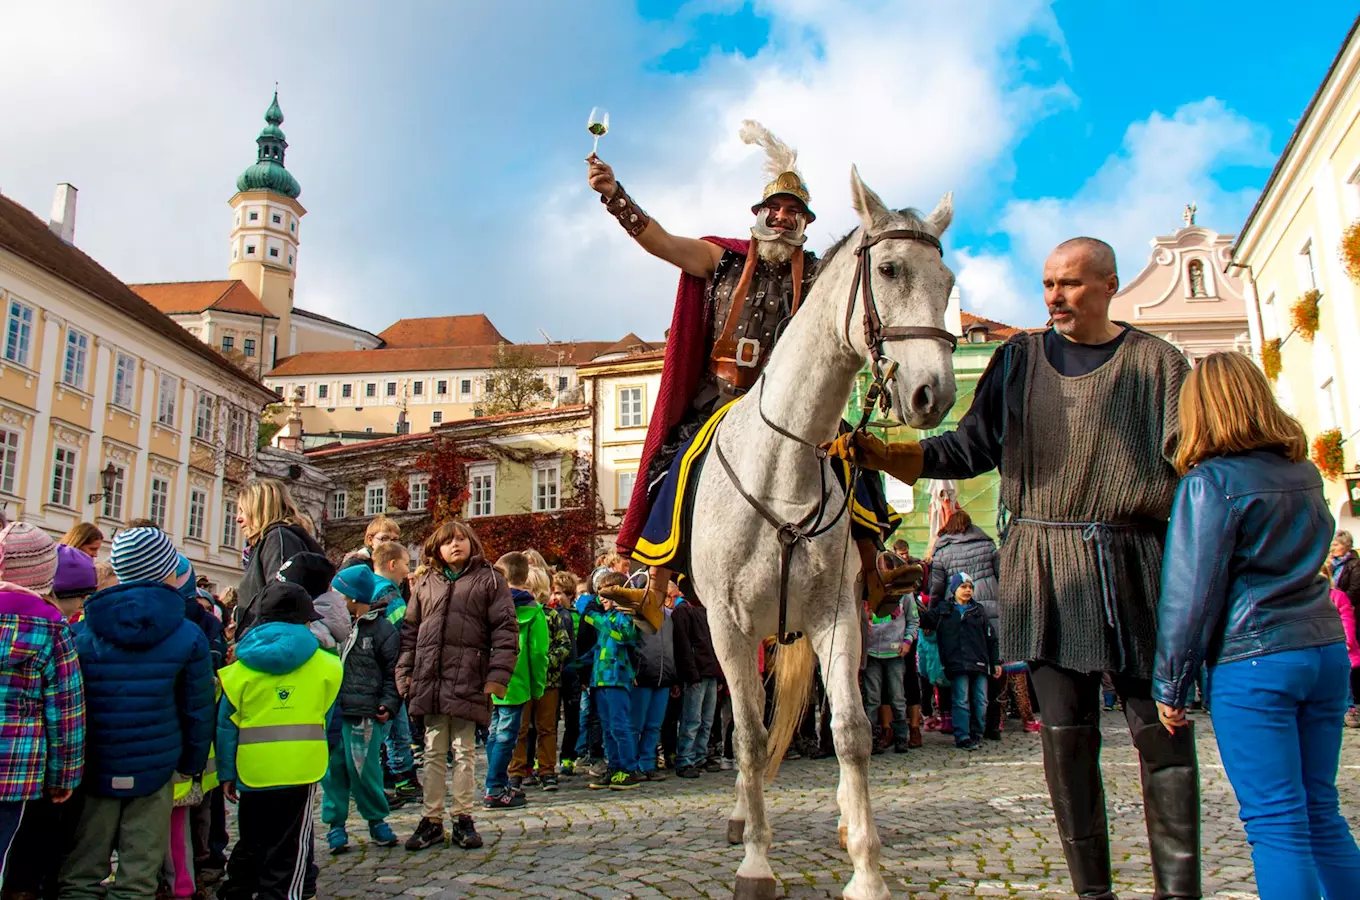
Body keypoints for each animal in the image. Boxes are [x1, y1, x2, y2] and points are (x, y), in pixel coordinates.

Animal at [690, 169, 957, 900]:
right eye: (889, 269)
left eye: (948, 281)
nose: (934, 394)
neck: (782, 461)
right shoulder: (727, 628)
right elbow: (749, 738)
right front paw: (756, 862)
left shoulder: (836, 616)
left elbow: (853, 732)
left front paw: (867, 868)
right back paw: (741, 816)